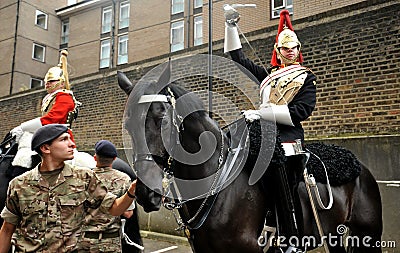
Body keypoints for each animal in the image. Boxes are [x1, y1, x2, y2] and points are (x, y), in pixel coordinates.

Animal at [117, 62, 382, 251]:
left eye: (162, 118)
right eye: (128, 125)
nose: (145, 193)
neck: (218, 184)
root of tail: (359, 165)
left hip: (367, 234)